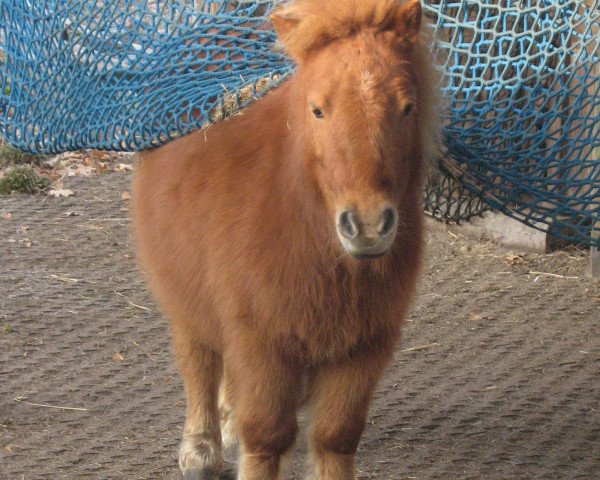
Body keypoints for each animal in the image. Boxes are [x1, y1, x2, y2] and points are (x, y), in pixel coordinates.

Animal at [134, 1, 438, 478]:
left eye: (407, 108)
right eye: (317, 110)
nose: (368, 224)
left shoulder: (363, 348)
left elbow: (335, 437)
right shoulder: (263, 343)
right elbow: (266, 438)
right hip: (184, 290)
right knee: (198, 360)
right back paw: (201, 448)